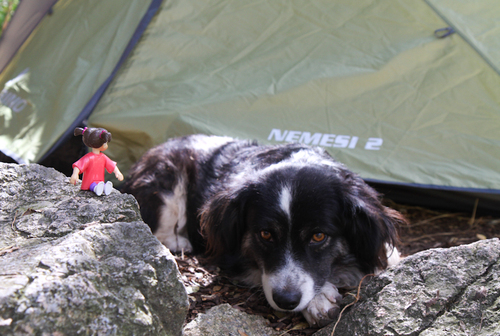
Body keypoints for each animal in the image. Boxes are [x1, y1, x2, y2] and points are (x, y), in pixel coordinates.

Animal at [122, 135, 406, 328]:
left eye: (318, 236)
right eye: (266, 234)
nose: (286, 300)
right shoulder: (231, 257)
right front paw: (320, 299)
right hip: (167, 179)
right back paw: (180, 242)